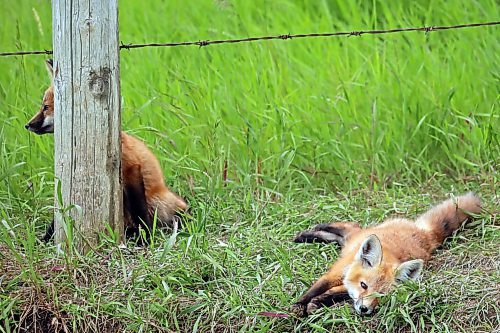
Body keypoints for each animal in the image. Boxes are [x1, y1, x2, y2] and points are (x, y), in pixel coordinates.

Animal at [24, 59, 188, 241]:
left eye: (45, 107)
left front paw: (145, 238)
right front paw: (46, 238)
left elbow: (140, 211)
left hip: (157, 201)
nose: (27, 125)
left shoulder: (131, 169)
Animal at [292, 192, 482, 314]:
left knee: (342, 233)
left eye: (381, 295)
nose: (365, 309)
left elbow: (335, 293)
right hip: (354, 236)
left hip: (349, 240)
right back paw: (307, 233)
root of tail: (427, 233)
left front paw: (318, 302)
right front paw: (299, 305)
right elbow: (315, 289)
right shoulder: (334, 274)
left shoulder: (345, 284)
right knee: (348, 225)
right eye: (364, 285)